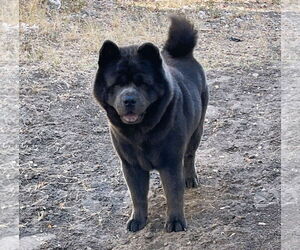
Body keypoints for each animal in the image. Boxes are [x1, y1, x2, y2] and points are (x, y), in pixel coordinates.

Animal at [94, 16, 209, 232]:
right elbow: (137, 196)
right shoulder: (131, 165)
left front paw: (175, 222)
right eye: (117, 84)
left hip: (196, 131)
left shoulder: (170, 162)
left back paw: (190, 179)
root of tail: (183, 54)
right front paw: (138, 220)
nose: (129, 99)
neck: (140, 131)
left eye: (142, 83)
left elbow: (173, 193)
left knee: (189, 156)